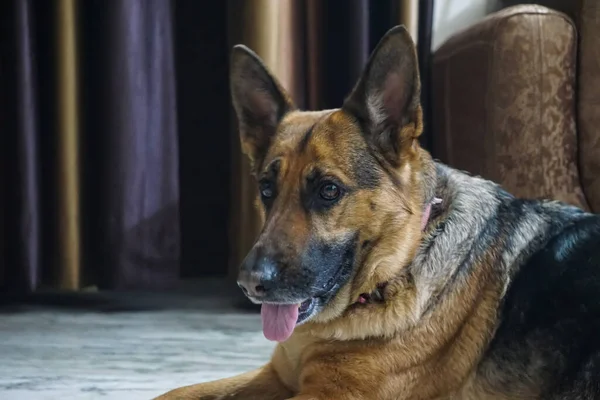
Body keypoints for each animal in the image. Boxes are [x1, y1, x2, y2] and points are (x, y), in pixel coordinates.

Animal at [158, 26, 600, 398]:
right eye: (266, 190)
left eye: (328, 191)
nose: (249, 284)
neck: (397, 269)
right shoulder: (277, 376)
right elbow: (175, 392)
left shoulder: (325, 394)